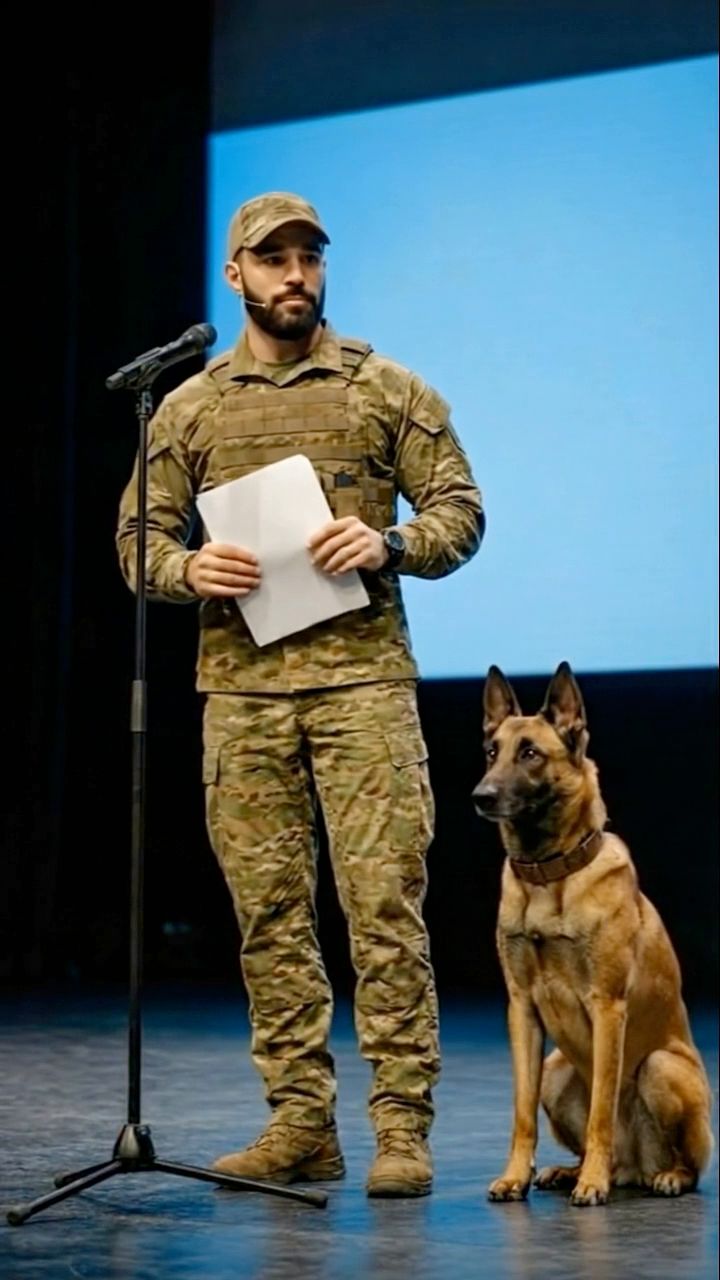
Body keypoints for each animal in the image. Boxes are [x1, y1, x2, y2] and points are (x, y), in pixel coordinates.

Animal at [473, 661, 713, 1207]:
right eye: (492, 751)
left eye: (531, 753)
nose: (481, 797)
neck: (548, 876)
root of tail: (634, 1167)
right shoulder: (521, 1008)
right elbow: (521, 1113)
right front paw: (515, 1176)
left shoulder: (607, 1006)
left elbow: (602, 1107)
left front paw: (593, 1185)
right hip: (555, 1071)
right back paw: (573, 1170)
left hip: (661, 1067)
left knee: (687, 1163)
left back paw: (655, 1176)